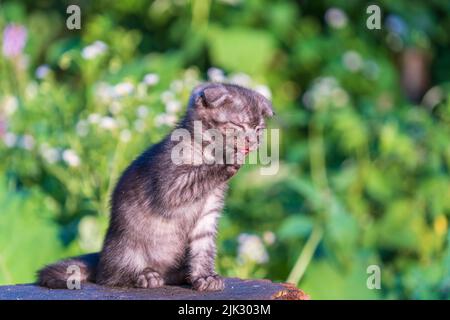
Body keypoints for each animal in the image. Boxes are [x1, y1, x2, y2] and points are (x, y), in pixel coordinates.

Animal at [37, 82, 272, 290]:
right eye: (238, 126)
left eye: (259, 129)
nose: (252, 142)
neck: (205, 150)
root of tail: (101, 256)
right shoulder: (169, 186)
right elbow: (197, 176)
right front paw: (227, 160)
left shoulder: (207, 215)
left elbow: (203, 249)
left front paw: (205, 277)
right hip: (125, 245)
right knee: (109, 276)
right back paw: (144, 276)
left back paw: (183, 275)